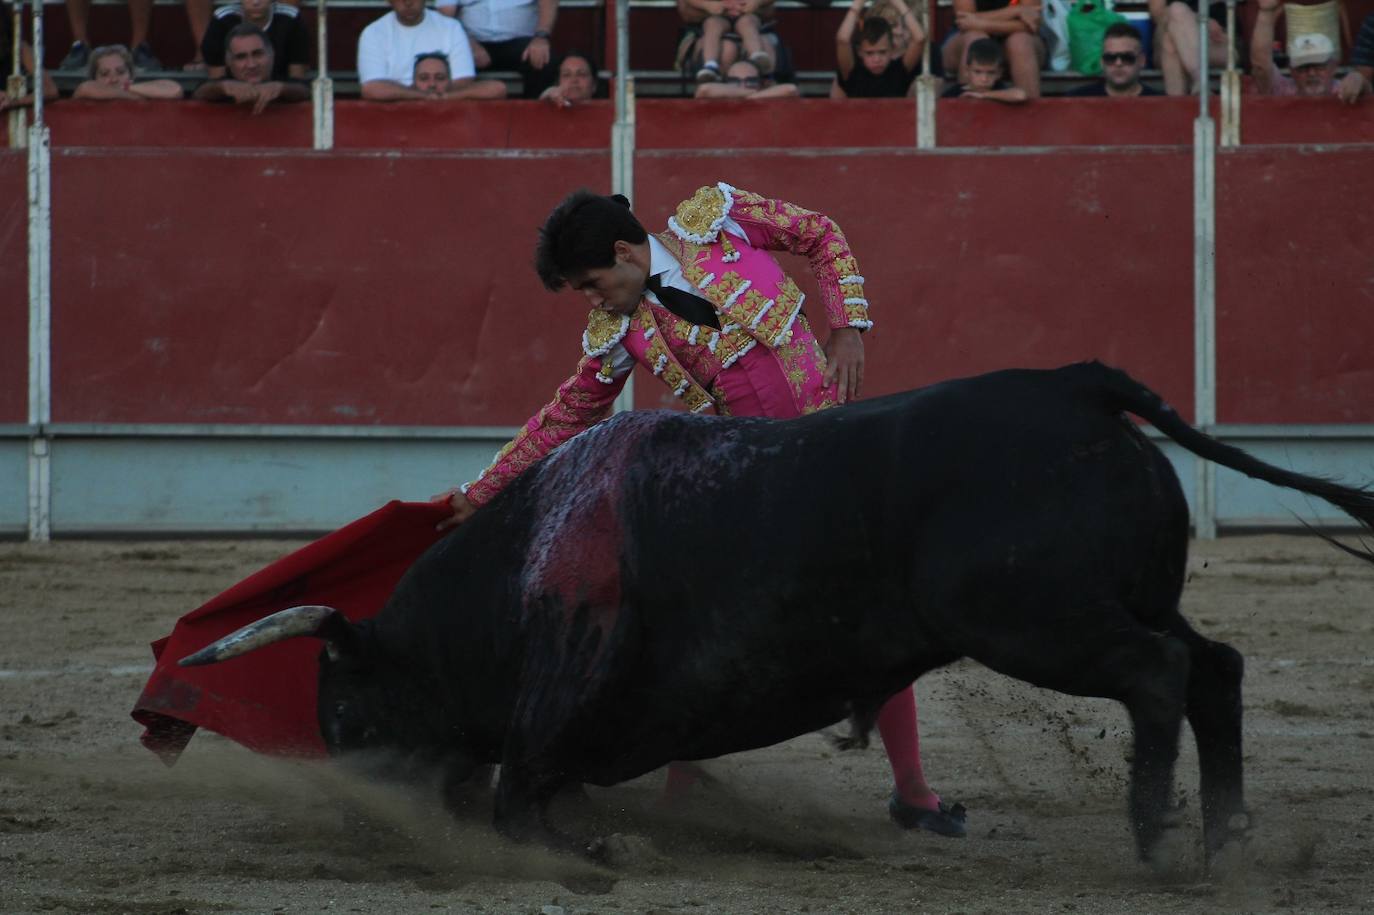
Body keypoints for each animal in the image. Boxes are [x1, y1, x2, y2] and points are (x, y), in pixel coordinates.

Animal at [182, 359, 1374, 857]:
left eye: (344, 710)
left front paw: (586, 851)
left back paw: (1154, 839)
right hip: (1119, 601)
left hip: (1034, 620)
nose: (364, 822)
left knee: (1159, 676)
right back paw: (1222, 835)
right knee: (1214, 665)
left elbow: (523, 787)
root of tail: (1078, 385)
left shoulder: (566, 661)